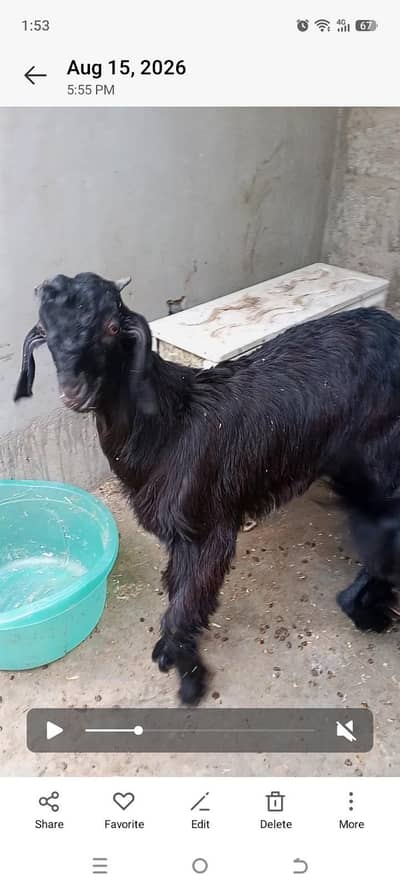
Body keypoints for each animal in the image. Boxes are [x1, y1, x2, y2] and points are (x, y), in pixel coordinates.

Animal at [14, 272, 400, 703]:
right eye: (45, 330)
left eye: (112, 327)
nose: (74, 392)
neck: (168, 425)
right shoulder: (178, 534)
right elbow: (176, 589)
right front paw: (170, 653)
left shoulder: (209, 529)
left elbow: (182, 607)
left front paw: (190, 681)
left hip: (381, 459)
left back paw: (366, 610)